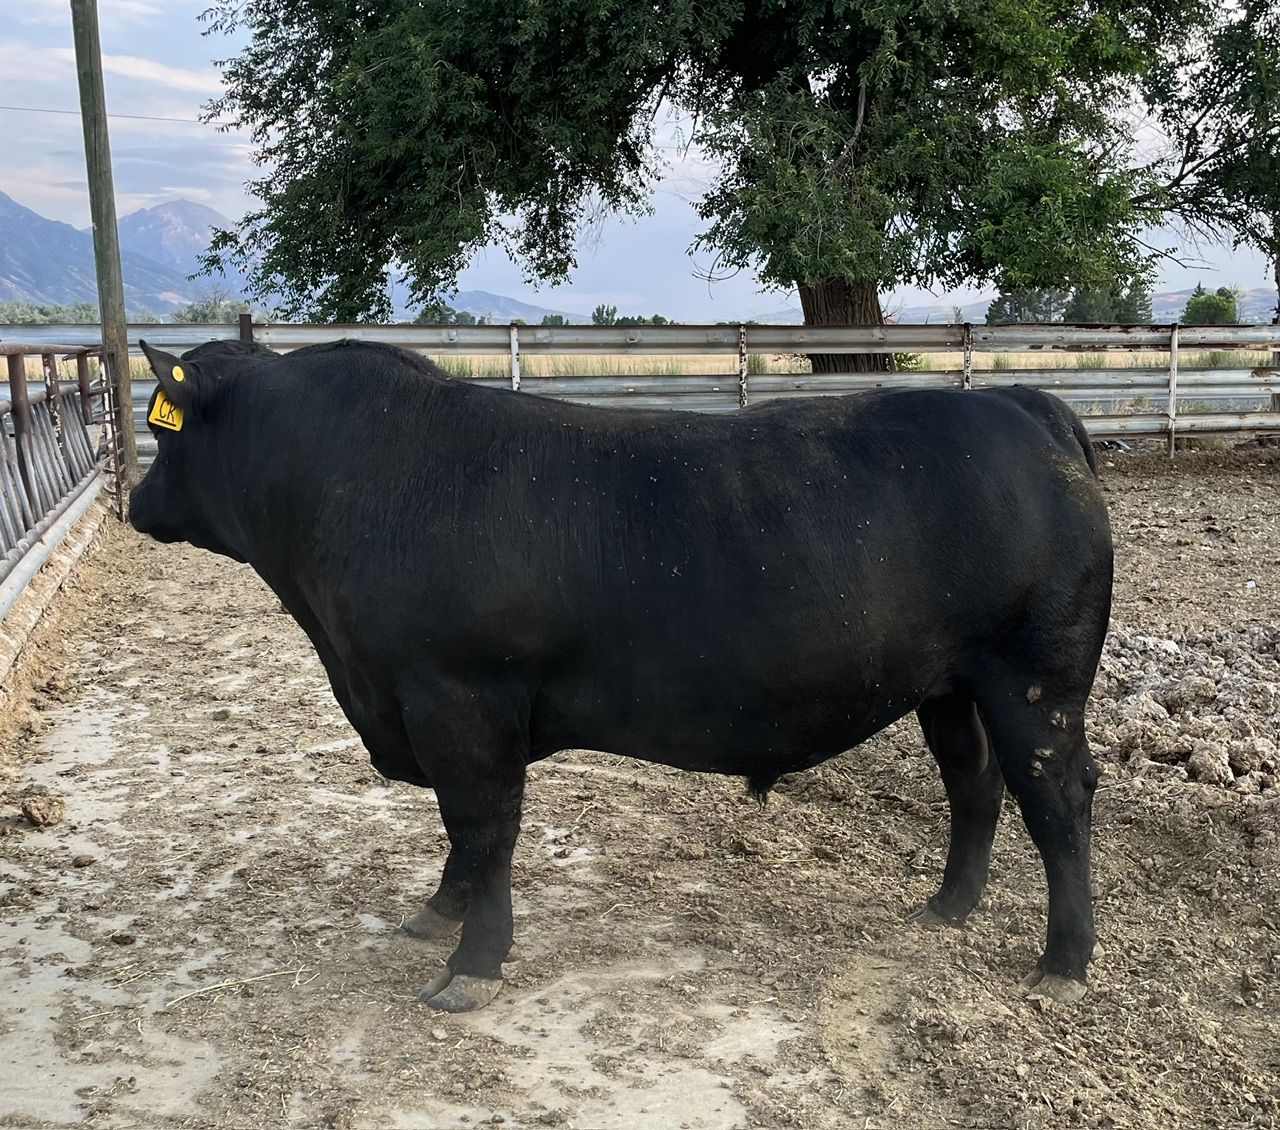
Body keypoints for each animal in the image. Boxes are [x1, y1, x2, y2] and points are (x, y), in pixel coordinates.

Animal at [130, 337, 1113, 1013]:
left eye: (159, 432)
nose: (134, 502)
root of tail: (1022, 403)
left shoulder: (460, 701)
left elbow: (483, 826)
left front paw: (472, 963)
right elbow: (461, 831)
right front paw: (439, 911)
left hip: (1037, 680)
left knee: (1057, 797)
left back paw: (1064, 964)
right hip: (949, 686)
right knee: (973, 783)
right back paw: (947, 907)